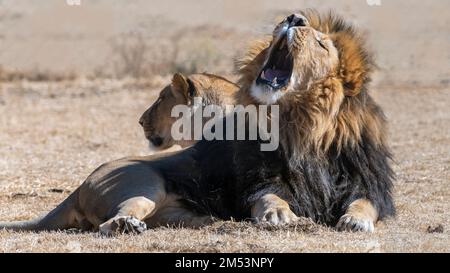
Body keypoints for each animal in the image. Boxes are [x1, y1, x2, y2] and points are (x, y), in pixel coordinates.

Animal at [0, 11, 394, 234]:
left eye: (322, 44)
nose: (294, 18)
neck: (306, 125)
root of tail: (79, 187)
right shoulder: (256, 179)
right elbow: (269, 196)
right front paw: (280, 216)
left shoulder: (366, 183)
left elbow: (365, 203)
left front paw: (355, 220)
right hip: (145, 183)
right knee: (109, 224)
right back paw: (127, 225)